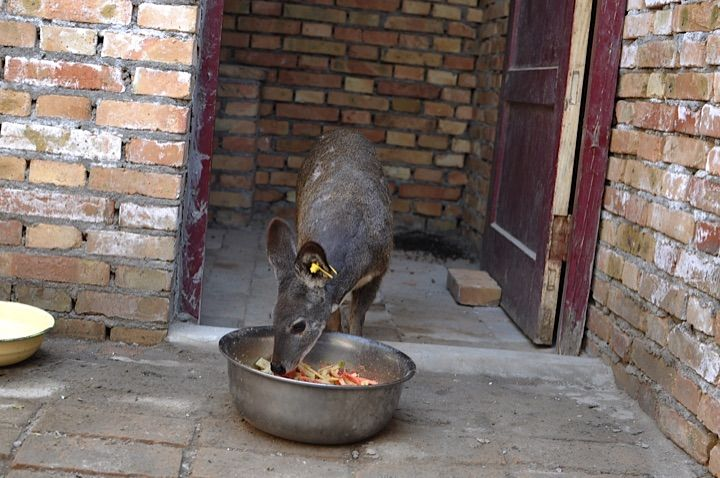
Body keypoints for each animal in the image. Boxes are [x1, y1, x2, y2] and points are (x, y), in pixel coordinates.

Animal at [264, 129, 390, 376]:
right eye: (273, 316)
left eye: (299, 325)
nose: (277, 366)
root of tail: (345, 131)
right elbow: (334, 320)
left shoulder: (379, 271)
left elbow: (357, 318)